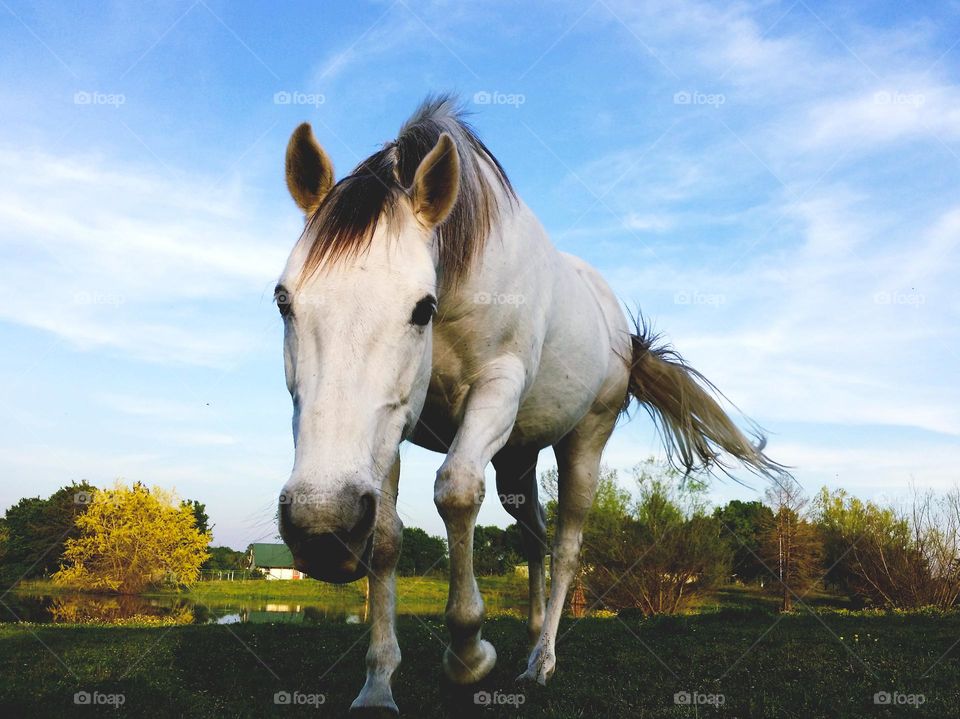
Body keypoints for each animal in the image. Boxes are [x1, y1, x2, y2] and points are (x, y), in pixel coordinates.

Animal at [274, 94, 784, 716]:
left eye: (422, 308)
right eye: (284, 301)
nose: (323, 527)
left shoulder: (495, 392)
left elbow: (456, 493)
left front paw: (468, 651)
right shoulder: (387, 431)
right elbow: (390, 537)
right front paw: (378, 682)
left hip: (583, 443)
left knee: (564, 546)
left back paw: (541, 660)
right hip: (516, 456)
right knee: (533, 534)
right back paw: (534, 629)